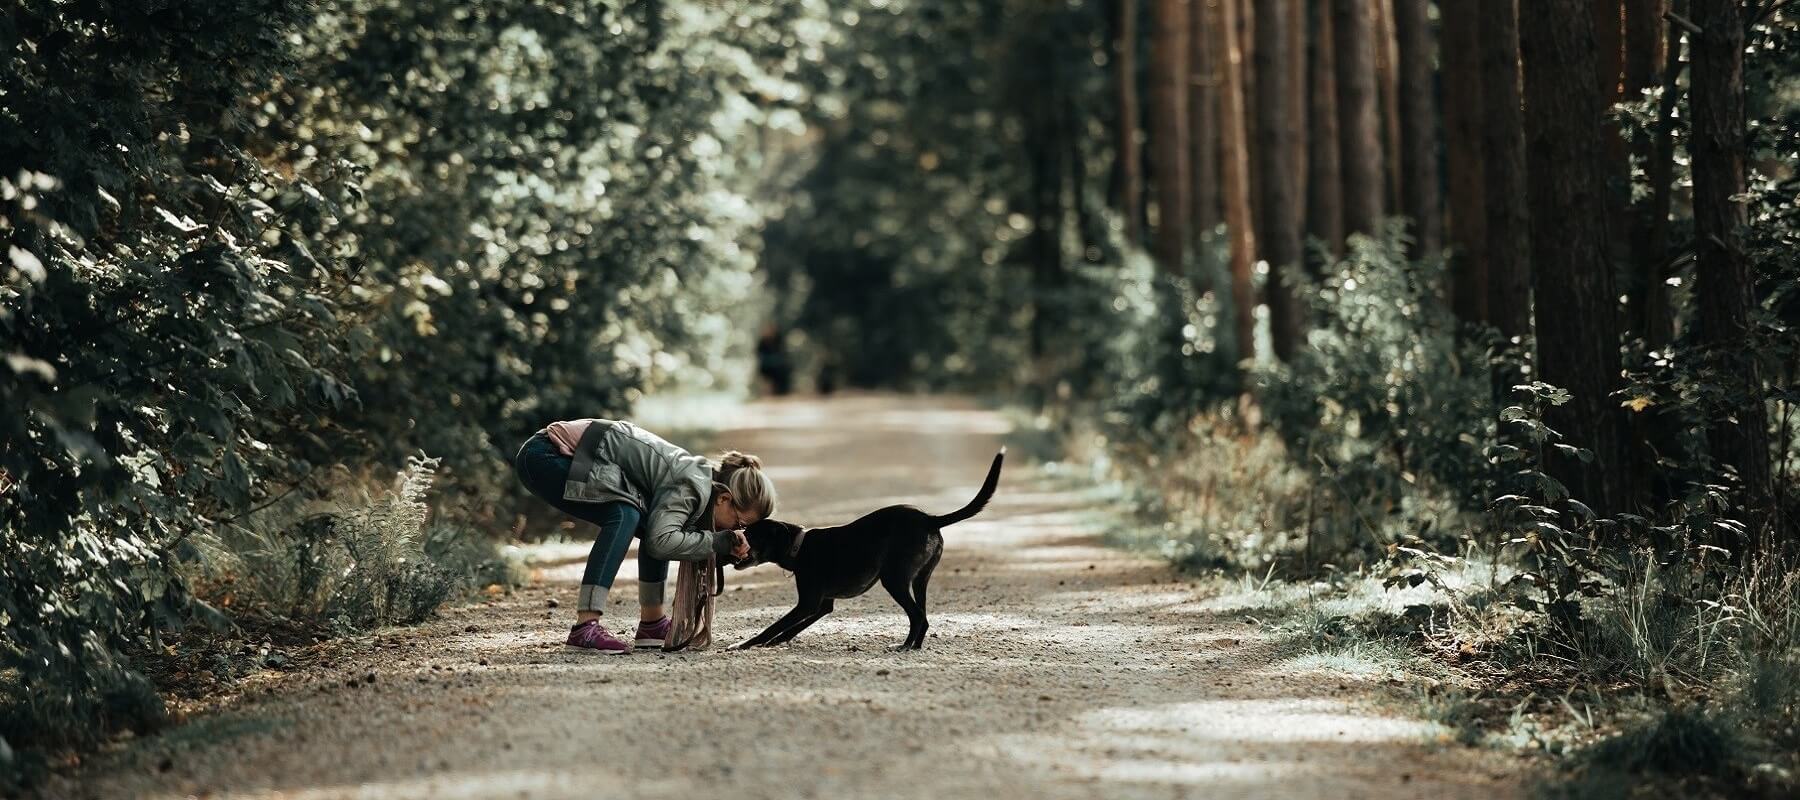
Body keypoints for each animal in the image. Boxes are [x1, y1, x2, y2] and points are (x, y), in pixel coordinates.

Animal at [734, 450, 1015, 648]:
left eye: (751, 534)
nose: (736, 538)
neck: (799, 546)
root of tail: (930, 519)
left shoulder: (808, 603)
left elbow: (773, 627)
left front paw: (744, 644)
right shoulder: (822, 605)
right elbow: (790, 629)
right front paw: (774, 643)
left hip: (894, 579)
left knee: (917, 616)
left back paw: (904, 647)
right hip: (919, 580)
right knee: (923, 617)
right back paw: (914, 646)